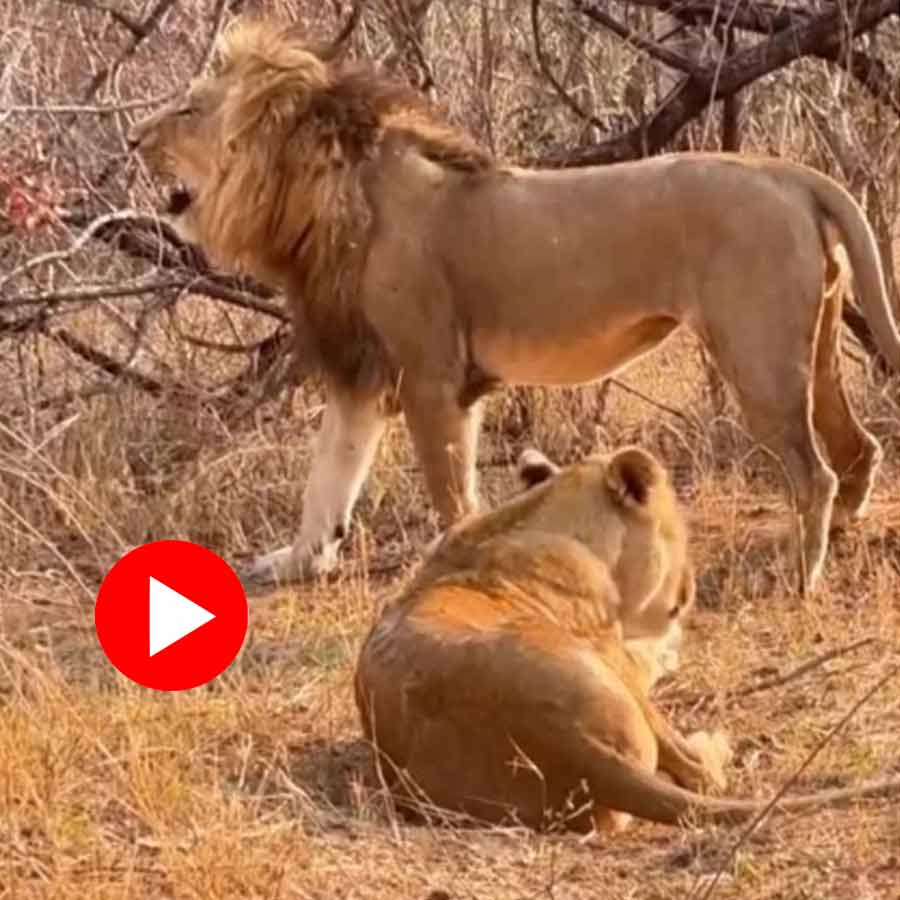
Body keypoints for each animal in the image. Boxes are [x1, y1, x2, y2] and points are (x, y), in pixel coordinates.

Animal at [127, 17, 900, 594]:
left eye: (188, 109)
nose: (132, 139)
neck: (313, 194)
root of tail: (787, 172)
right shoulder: (364, 369)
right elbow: (329, 479)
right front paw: (296, 561)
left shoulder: (432, 375)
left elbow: (449, 493)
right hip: (810, 348)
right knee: (857, 447)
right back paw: (844, 531)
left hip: (757, 358)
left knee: (815, 471)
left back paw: (800, 575)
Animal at [354, 446, 900, 833]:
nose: (690, 589)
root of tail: (564, 740)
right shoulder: (616, 650)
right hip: (620, 687)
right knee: (700, 773)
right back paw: (717, 743)